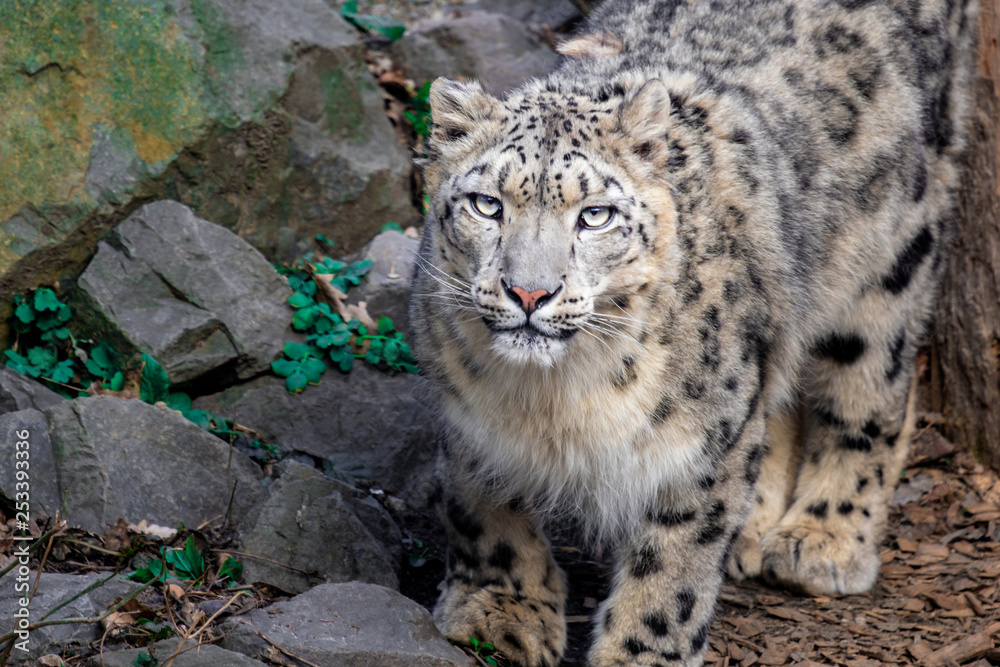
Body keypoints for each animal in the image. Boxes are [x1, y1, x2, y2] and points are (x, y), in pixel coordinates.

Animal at [407, 0, 977, 664]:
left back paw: (823, 538)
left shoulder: (702, 446)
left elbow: (671, 570)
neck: (552, 397)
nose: (529, 292)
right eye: (487, 205)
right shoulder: (468, 419)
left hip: (894, 255)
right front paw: (499, 613)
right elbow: (482, 510)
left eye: (595, 215)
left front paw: (641, 653)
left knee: (874, 388)